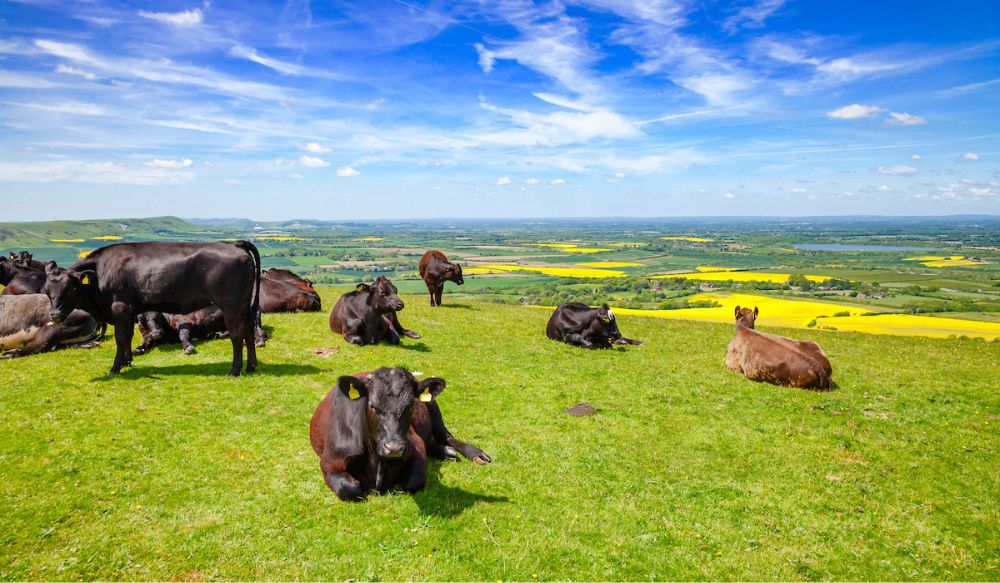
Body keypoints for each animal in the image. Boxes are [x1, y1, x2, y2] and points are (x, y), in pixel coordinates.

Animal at [41, 241, 261, 376]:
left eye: (70, 289)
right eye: (47, 291)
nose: (55, 315)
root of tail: (234, 244)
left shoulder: (120, 307)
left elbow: (121, 338)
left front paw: (115, 368)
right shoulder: (130, 311)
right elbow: (128, 337)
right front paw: (127, 361)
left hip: (231, 306)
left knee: (237, 334)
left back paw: (234, 370)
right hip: (244, 305)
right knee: (249, 330)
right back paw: (251, 366)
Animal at [309, 367, 491, 501]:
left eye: (410, 405)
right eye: (373, 406)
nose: (394, 448)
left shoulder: (415, 444)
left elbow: (414, 481)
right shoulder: (330, 460)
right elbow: (349, 489)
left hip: (433, 406)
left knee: (446, 436)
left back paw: (473, 453)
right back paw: (445, 452)